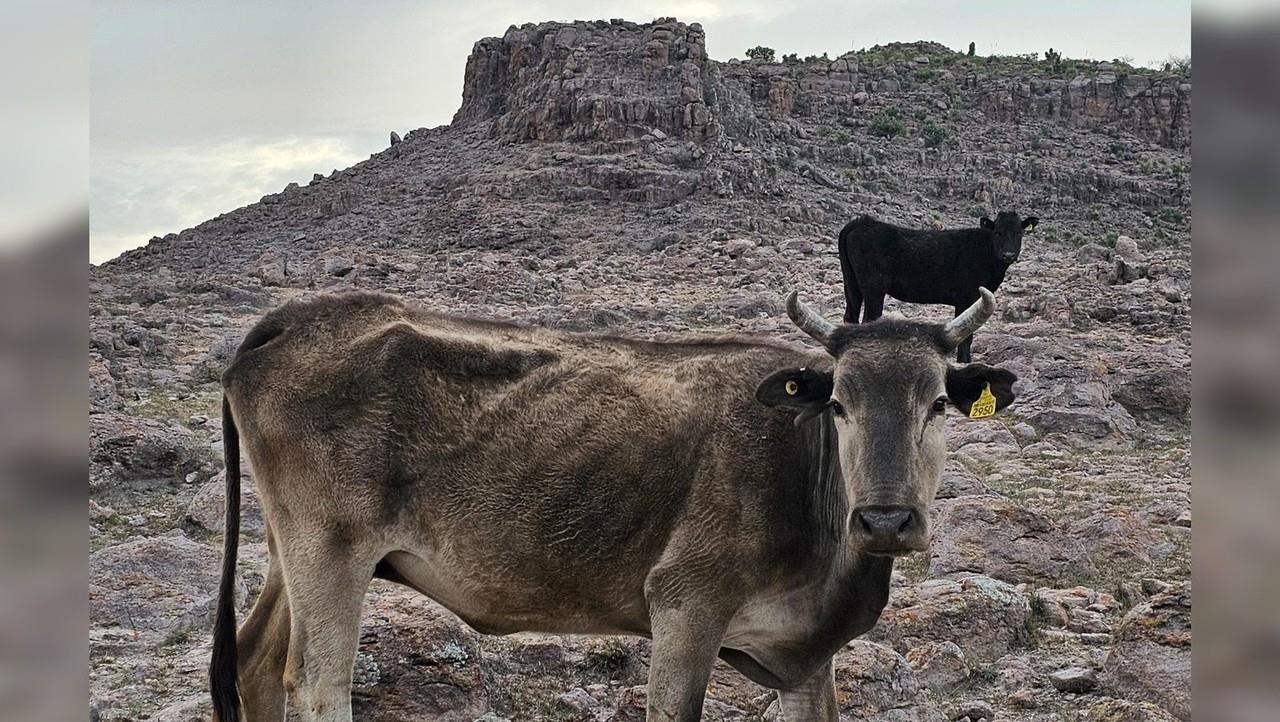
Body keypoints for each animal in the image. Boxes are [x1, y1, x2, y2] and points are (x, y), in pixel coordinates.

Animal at [207, 289, 1008, 722]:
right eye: (838, 404)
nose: (886, 520)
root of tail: (294, 317)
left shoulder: (807, 652)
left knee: (254, 661)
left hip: (290, 552)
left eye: (940, 403)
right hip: (330, 551)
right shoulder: (685, 605)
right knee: (317, 683)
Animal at [839, 211, 1039, 363]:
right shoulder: (966, 296)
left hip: (851, 284)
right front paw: (964, 362)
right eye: (997, 232)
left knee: (850, 318)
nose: (1008, 254)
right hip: (874, 288)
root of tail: (863, 222)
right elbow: (966, 335)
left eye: (1019, 233)